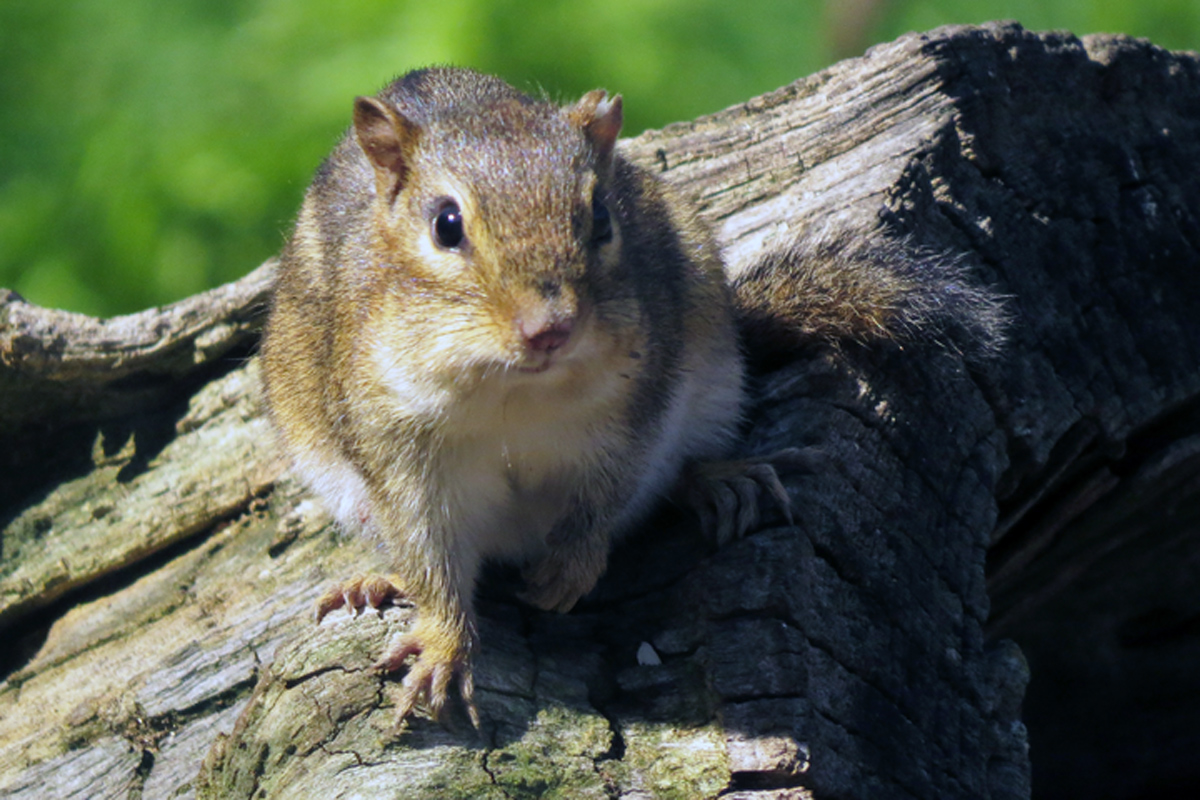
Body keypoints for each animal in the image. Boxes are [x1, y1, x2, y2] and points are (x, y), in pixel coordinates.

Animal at [260, 66, 1006, 730]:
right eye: (445, 224)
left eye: (601, 215)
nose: (550, 328)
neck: (513, 390)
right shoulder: (396, 449)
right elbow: (429, 553)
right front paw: (443, 645)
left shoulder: (631, 414)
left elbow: (609, 492)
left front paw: (570, 567)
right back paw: (377, 581)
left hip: (712, 373)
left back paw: (717, 480)